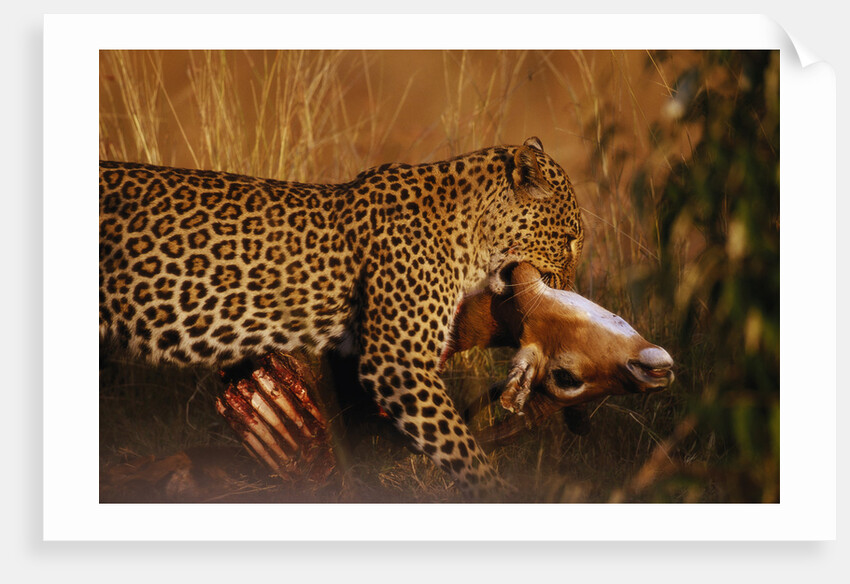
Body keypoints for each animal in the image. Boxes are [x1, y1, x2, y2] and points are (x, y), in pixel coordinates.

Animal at [99, 136, 584, 498]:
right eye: (570, 239)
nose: (569, 289)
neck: (470, 235)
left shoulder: (351, 358)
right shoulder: (397, 362)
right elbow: (460, 447)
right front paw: (497, 492)